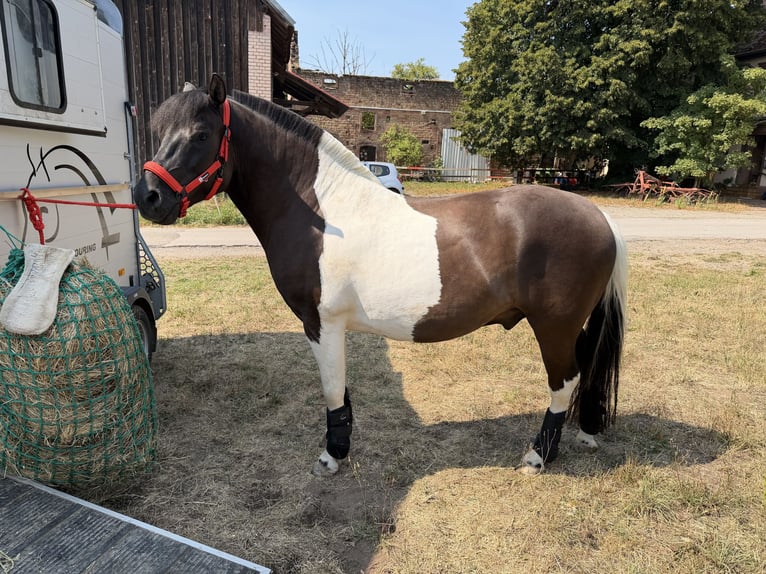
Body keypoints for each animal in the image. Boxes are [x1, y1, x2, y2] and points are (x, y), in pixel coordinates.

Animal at [135, 75, 627, 476]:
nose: (147, 196)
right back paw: (584, 432)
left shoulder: (321, 323)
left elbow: (332, 388)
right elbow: (342, 390)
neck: (320, 211)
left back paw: (538, 455)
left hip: (554, 327)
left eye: (201, 134)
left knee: (564, 382)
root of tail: (599, 216)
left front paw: (332, 456)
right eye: (157, 132)